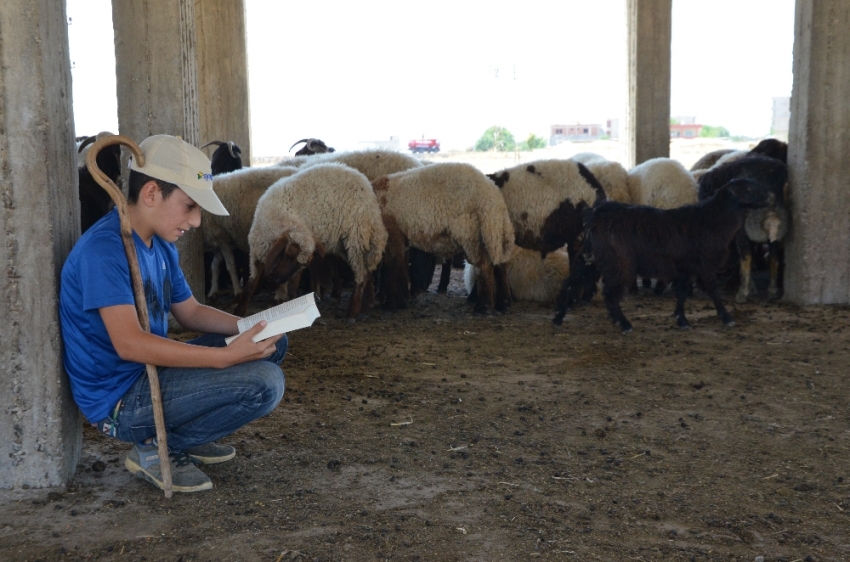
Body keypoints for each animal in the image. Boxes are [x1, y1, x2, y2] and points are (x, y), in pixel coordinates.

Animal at [204, 165, 300, 300]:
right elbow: (215, 265)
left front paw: (237, 291)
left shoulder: (220, 236)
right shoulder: (220, 237)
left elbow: (230, 265)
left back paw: (280, 295)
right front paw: (213, 291)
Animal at [235, 162, 388, 320]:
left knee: (361, 274)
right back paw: (367, 305)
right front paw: (239, 311)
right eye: (287, 255)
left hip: (356, 238)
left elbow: (292, 287)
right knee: (367, 271)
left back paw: (353, 311)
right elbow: (250, 284)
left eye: (298, 262)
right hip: (345, 245)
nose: (276, 280)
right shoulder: (257, 253)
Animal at [372, 160, 516, 312]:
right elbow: (400, 264)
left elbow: (393, 266)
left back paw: (483, 307)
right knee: (500, 263)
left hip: (471, 232)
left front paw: (392, 304)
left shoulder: (392, 232)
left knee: (485, 265)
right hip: (492, 231)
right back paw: (504, 304)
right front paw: (401, 299)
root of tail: (494, 197)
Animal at [548, 178, 776, 332]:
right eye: (749, 189)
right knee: (609, 293)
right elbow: (713, 291)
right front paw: (727, 317)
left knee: (572, 282)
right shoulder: (704, 265)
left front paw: (681, 319)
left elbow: (682, 293)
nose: (771, 197)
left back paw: (558, 317)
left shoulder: (684, 267)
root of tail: (595, 213)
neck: (712, 220)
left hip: (591, 260)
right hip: (619, 263)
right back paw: (624, 324)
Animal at [696, 153, 788, 302]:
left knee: (746, 257)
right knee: (774, 258)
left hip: (746, 227)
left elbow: (745, 258)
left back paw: (742, 294)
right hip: (778, 229)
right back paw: (772, 291)